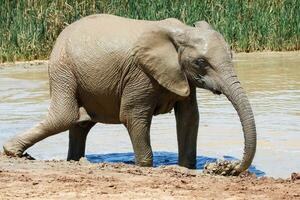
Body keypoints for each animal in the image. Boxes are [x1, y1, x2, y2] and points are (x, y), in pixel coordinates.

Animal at [2, 14, 256, 173]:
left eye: (231, 55)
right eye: (201, 62)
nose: (226, 168)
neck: (181, 31)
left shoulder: (181, 77)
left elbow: (189, 118)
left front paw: (187, 168)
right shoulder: (140, 73)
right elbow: (133, 116)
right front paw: (145, 167)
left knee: (80, 124)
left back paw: (72, 160)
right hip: (62, 68)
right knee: (64, 116)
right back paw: (12, 151)